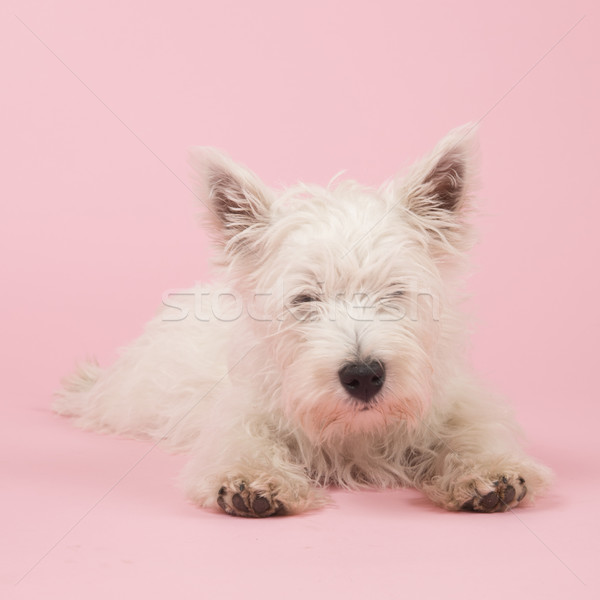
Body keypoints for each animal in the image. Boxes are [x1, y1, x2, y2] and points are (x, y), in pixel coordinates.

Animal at [54, 125, 552, 516]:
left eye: (394, 292)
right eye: (305, 298)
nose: (364, 375)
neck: (357, 433)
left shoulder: (458, 399)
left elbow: (472, 431)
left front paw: (487, 471)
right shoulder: (240, 411)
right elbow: (246, 439)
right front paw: (251, 480)